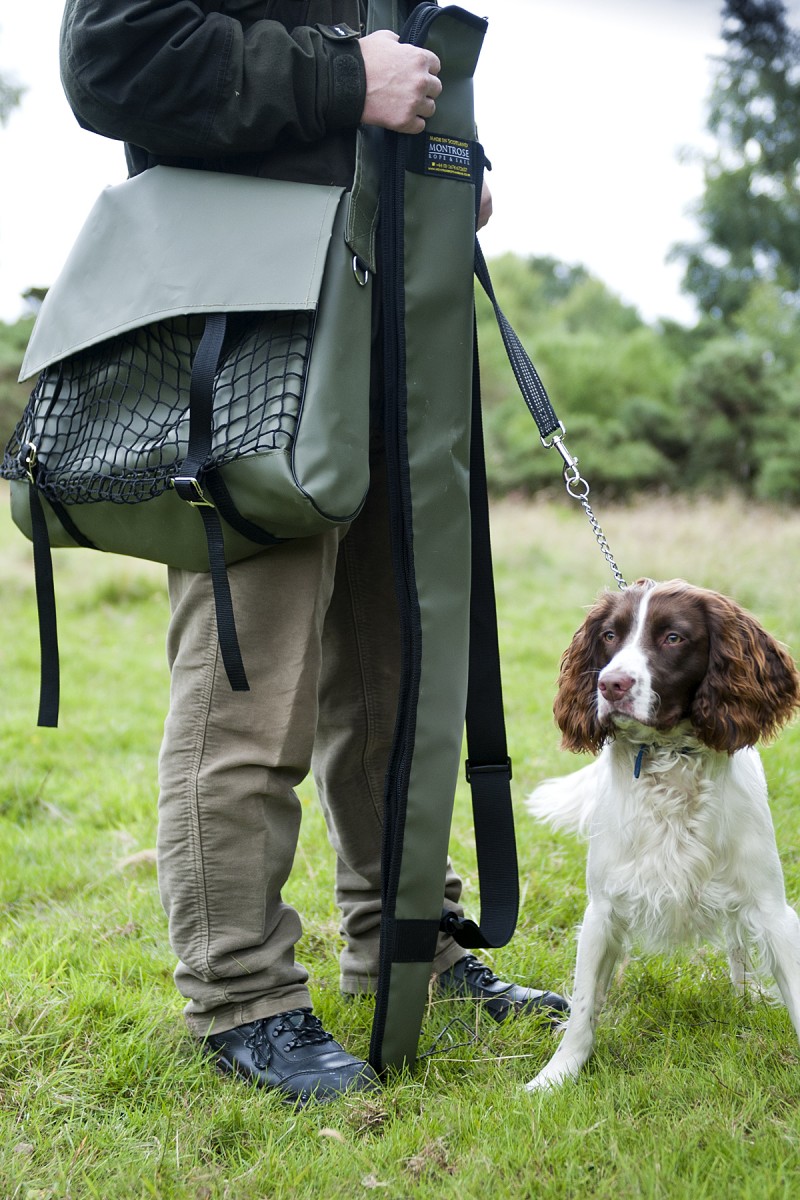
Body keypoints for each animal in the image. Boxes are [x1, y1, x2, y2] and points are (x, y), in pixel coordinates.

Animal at [525, 578, 800, 1091]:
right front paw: (557, 1075)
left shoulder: (772, 908)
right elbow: (583, 1007)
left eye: (673, 637)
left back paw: (743, 993)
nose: (610, 684)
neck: (670, 759)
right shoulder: (603, 908)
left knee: (736, 943)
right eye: (609, 636)